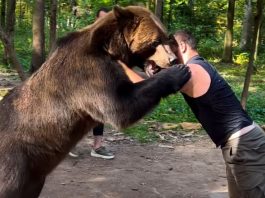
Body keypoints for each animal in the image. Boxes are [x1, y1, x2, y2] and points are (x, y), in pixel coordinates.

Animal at [0, 5, 190, 197]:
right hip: (16, 162)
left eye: (166, 37)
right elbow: (121, 106)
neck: (109, 49)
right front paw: (179, 72)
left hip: (34, 175)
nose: (172, 59)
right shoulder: (88, 73)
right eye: (155, 41)